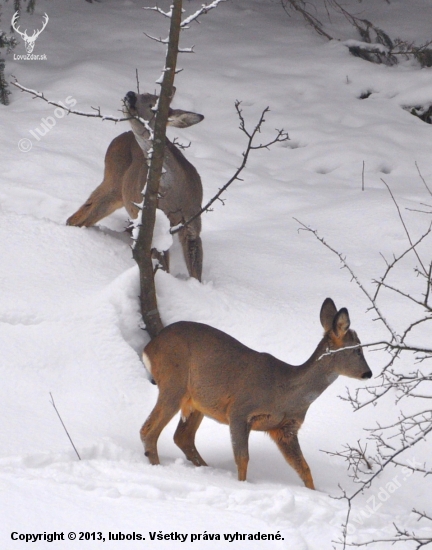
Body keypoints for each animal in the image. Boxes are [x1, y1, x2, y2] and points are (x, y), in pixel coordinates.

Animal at [68, 91, 206, 282]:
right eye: (141, 94)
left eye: (153, 105)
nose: (130, 94)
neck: (175, 197)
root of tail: (120, 137)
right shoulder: (154, 227)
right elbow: (163, 266)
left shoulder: (193, 221)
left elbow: (196, 272)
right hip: (113, 182)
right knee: (85, 210)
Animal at [141, 300, 372, 490]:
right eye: (357, 350)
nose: (368, 373)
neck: (285, 393)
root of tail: (148, 348)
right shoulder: (240, 411)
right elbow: (243, 459)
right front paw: (242, 486)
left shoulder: (285, 429)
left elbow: (304, 469)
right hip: (174, 383)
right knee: (148, 430)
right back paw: (157, 468)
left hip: (198, 402)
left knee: (182, 437)